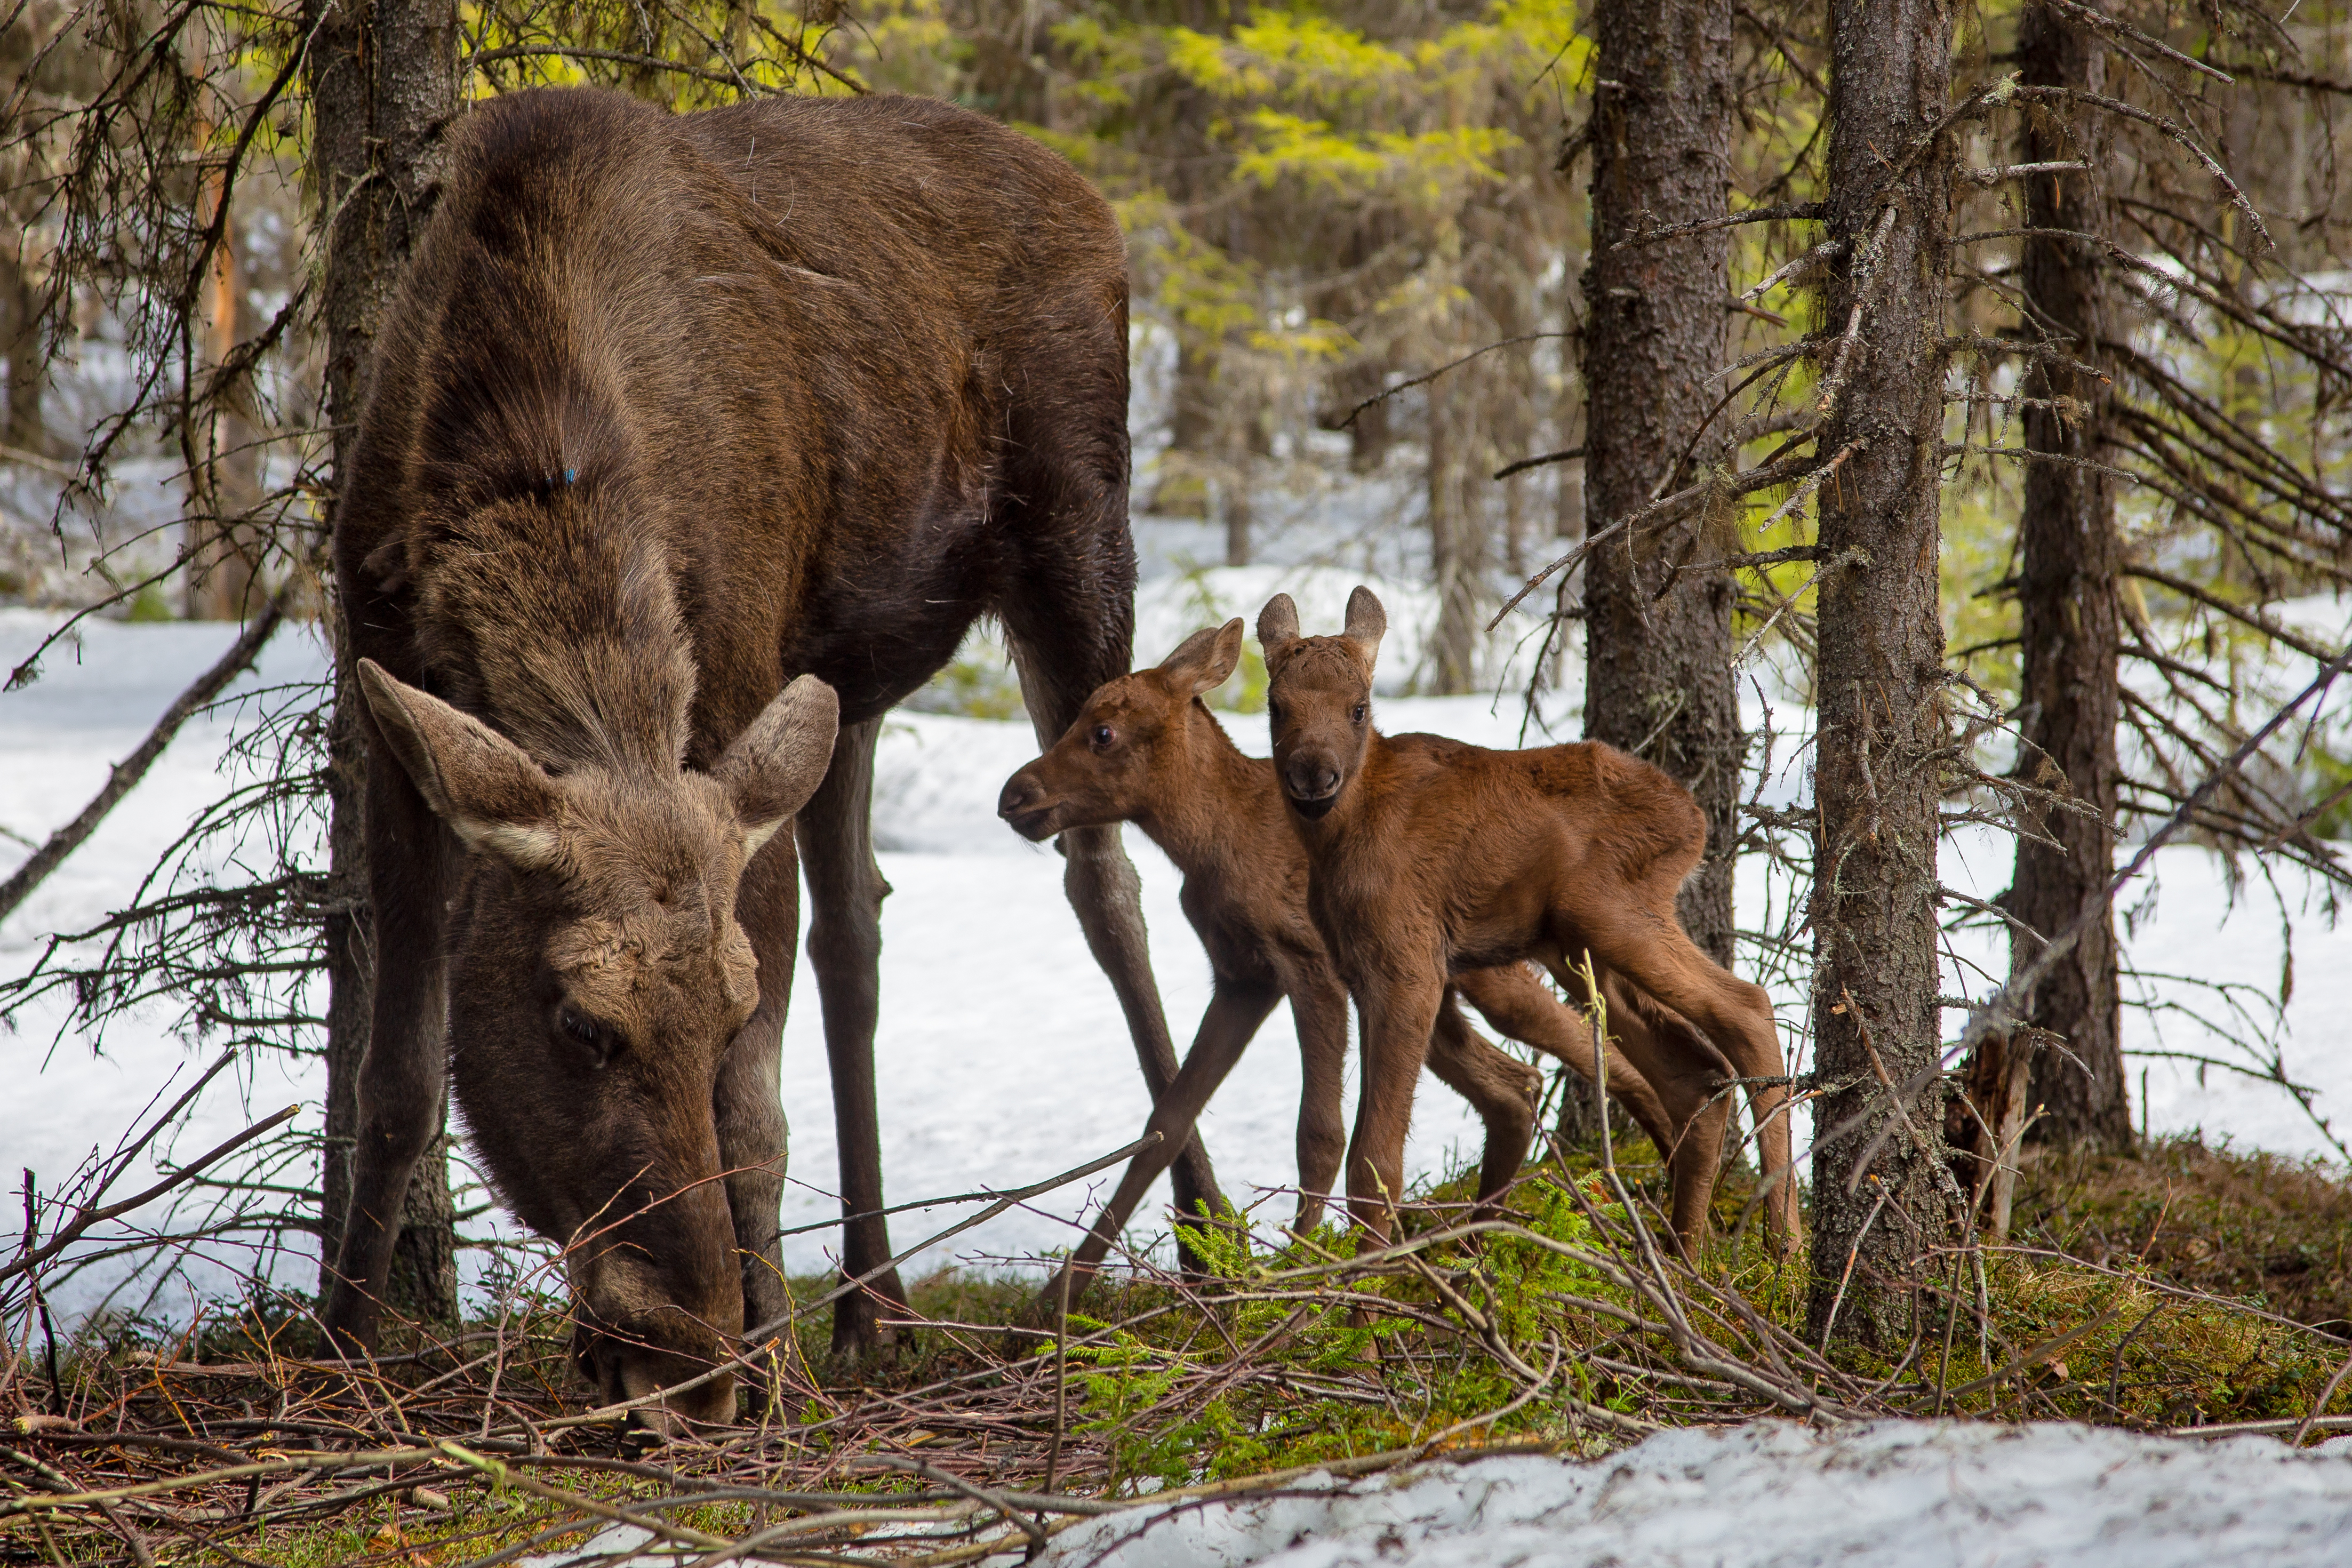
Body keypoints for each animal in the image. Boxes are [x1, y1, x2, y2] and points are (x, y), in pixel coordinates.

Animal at [319, 89, 1204, 1420]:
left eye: (725, 1011)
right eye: (580, 1024)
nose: (684, 1343)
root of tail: (1091, 197)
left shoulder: (732, 706)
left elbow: (754, 1116)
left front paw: (769, 1372)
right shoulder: (390, 710)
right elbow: (398, 1082)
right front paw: (340, 1349)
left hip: (1080, 546)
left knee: (1106, 885)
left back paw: (1209, 1242)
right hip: (844, 676)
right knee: (859, 934)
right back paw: (874, 1302)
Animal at [1002, 620, 1684, 1307]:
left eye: (1102, 732)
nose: (1014, 793)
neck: (1206, 843)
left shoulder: (1310, 970)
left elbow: (1319, 1133)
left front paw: (1295, 1275)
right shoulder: (1242, 978)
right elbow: (1165, 1125)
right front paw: (1055, 1301)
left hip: (1489, 979)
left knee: (1597, 1058)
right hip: (1441, 996)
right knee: (1518, 1086)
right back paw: (1477, 1247)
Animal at [1270, 583, 1797, 1260]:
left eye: (1358, 708)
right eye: (1277, 706)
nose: (1315, 776)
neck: (1336, 843)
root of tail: (1696, 820)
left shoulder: (1409, 966)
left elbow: (1376, 1159)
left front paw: (1366, 1277)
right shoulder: (1369, 970)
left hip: (1606, 914)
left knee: (1746, 1009)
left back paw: (1782, 1243)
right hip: (1575, 951)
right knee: (1692, 1072)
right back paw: (1684, 1250)